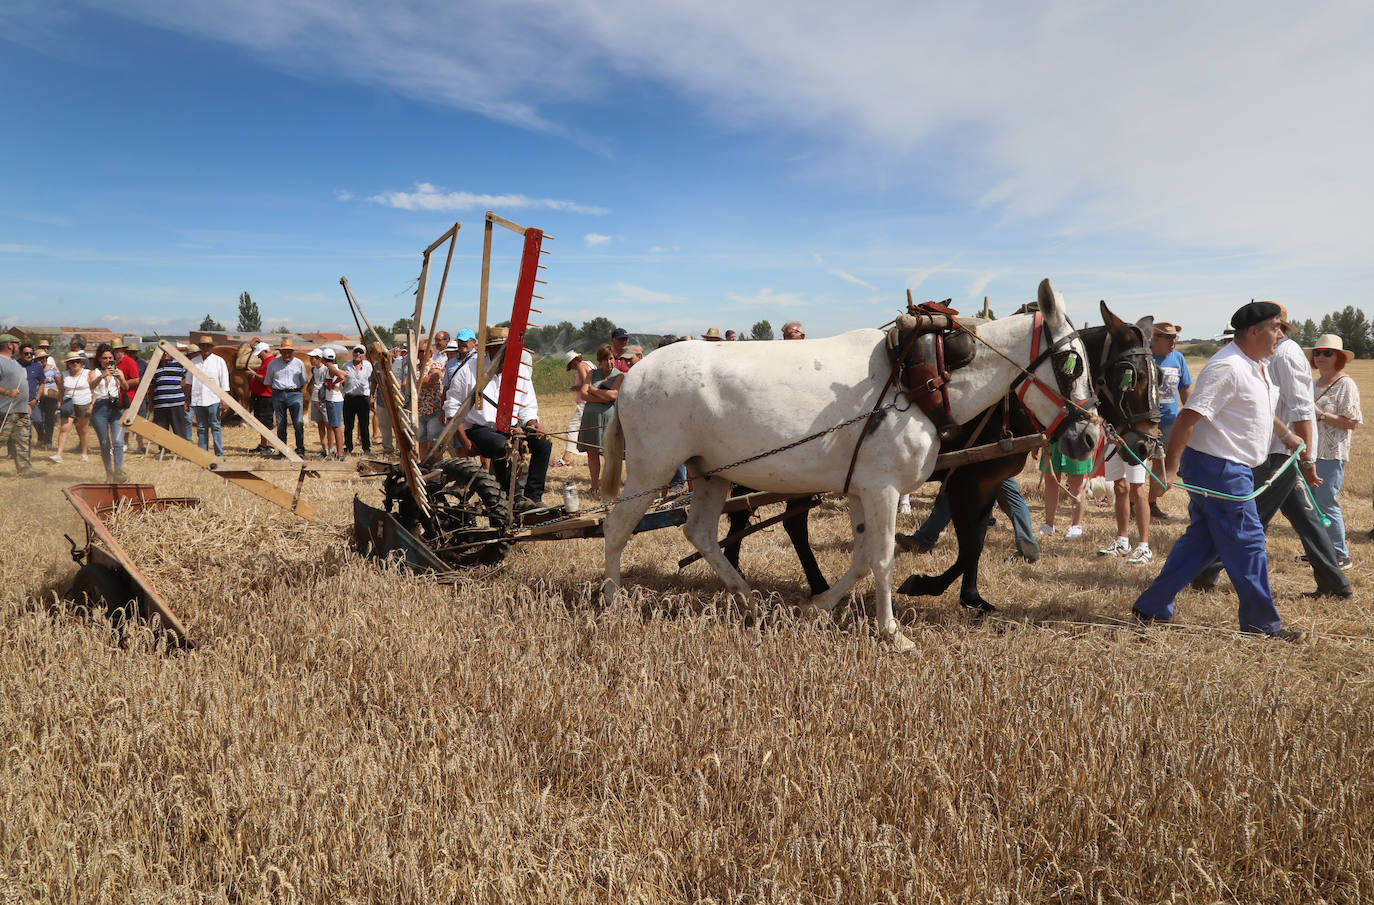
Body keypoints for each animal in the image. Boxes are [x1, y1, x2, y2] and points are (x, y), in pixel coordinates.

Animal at [599, 280, 1093, 648]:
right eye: (1072, 362)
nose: (1089, 437)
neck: (926, 381)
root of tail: (632, 375)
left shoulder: (861, 489)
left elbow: (862, 557)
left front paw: (815, 608)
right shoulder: (884, 489)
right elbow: (884, 557)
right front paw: (892, 632)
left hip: (710, 473)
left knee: (699, 531)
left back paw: (748, 598)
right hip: (652, 468)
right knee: (617, 526)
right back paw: (610, 601)